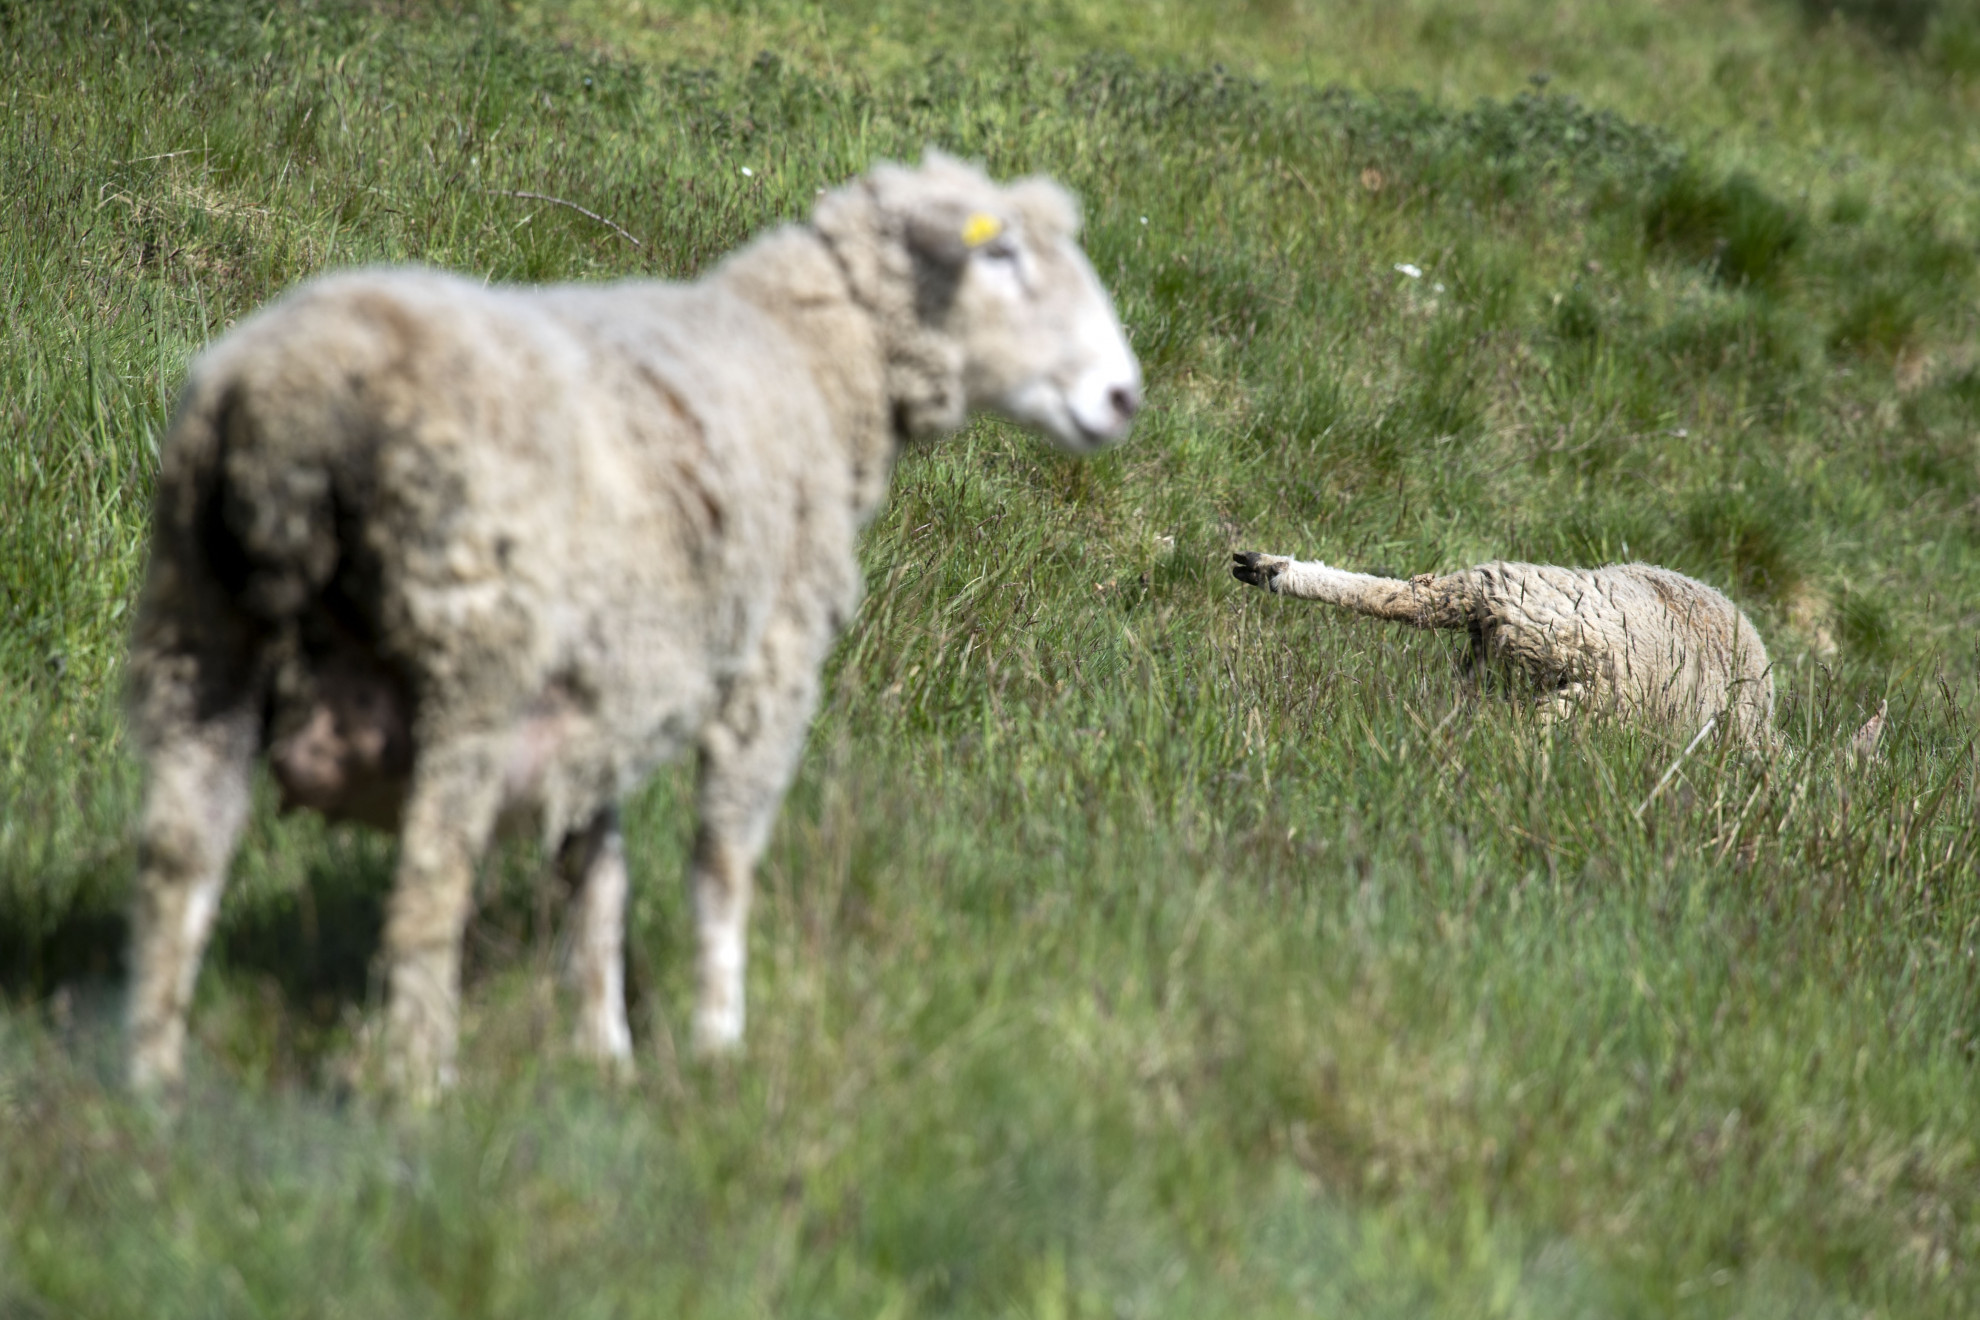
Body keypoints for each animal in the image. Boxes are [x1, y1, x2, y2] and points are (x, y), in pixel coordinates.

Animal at [127, 152, 1148, 1108]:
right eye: (1003, 254)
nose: (1124, 397)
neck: (811, 358)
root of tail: (294, 408)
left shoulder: (604, 687)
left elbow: (600, 876)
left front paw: (603, 1051)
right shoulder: (771, 663)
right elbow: (721, 866)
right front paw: (717, 1045)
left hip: (199, 629)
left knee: (182, 859)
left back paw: (154, 1088)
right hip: (471, 658)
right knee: (428, 880)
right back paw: (425, 1088)